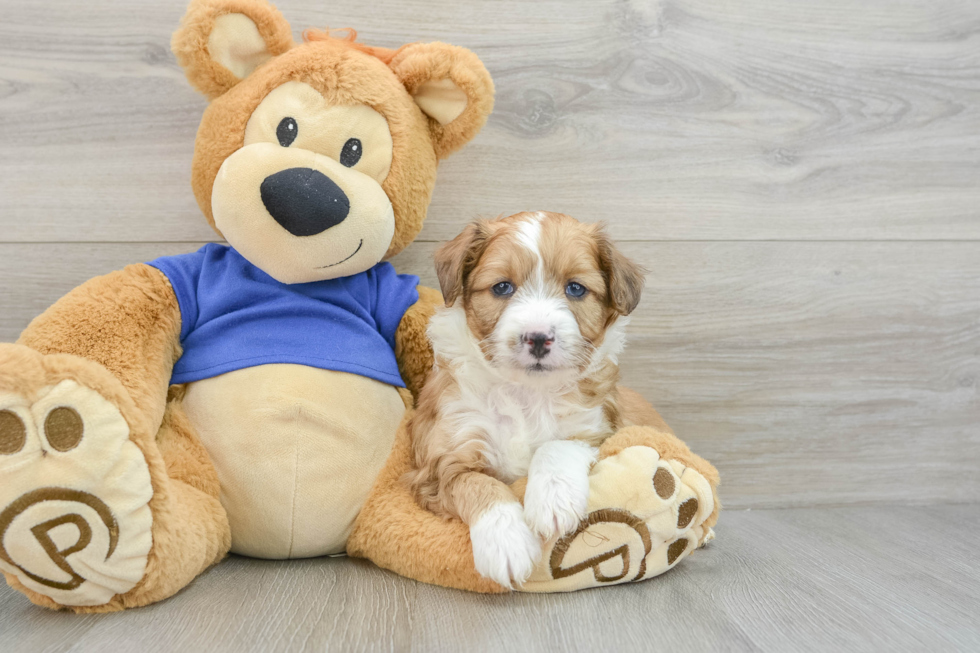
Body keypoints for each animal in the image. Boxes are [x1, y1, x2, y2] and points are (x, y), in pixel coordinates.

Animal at [406, 210, 644, 584]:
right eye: (502, 287)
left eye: (576, 288)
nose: (538, 338)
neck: (525, 394)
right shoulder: (440, 462)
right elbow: (479, 484)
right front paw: (506, 544)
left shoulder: (600, 429)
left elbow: (556, 445)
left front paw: (553, 502)